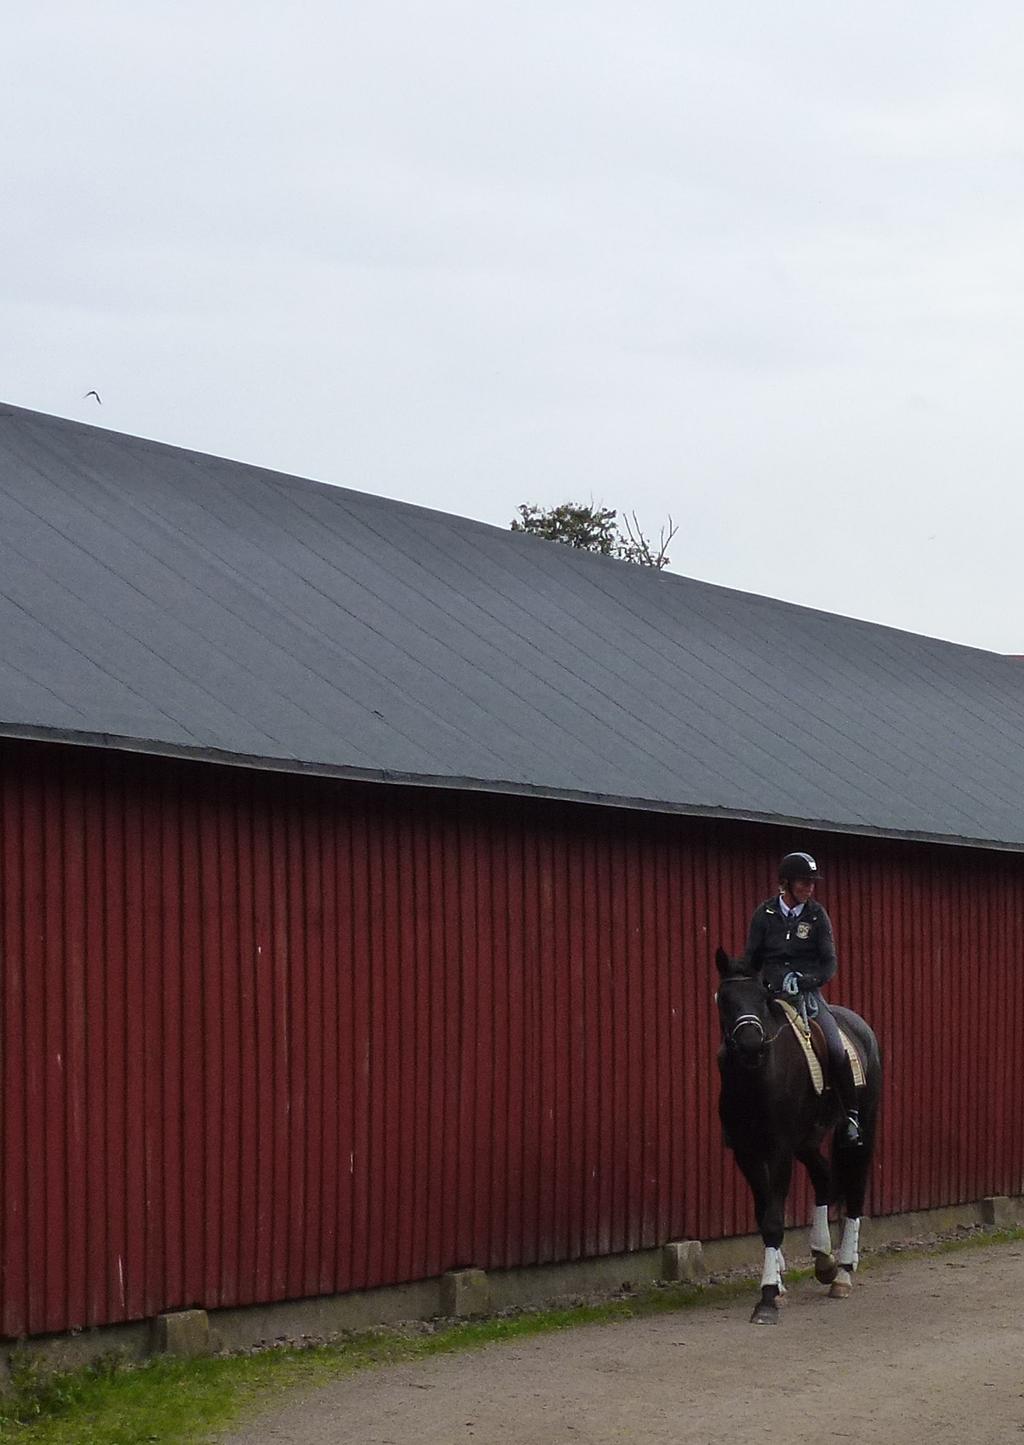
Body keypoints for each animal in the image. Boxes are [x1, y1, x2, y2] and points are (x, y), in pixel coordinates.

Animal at [716, 942, 883, 1323]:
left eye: (762, 996)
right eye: (724, 999)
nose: (751, 1045)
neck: (756, 1078)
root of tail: (859, 1026)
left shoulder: (779, 1150)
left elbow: (774, 1220)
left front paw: (766, 1298)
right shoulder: (746, 1152)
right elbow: (763, 1213)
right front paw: (777, 1286)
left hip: (861, 1130)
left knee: (854, 1194)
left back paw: (843, 1274)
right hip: (806, 1141)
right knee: (824, 1177)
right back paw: (823, 1258)